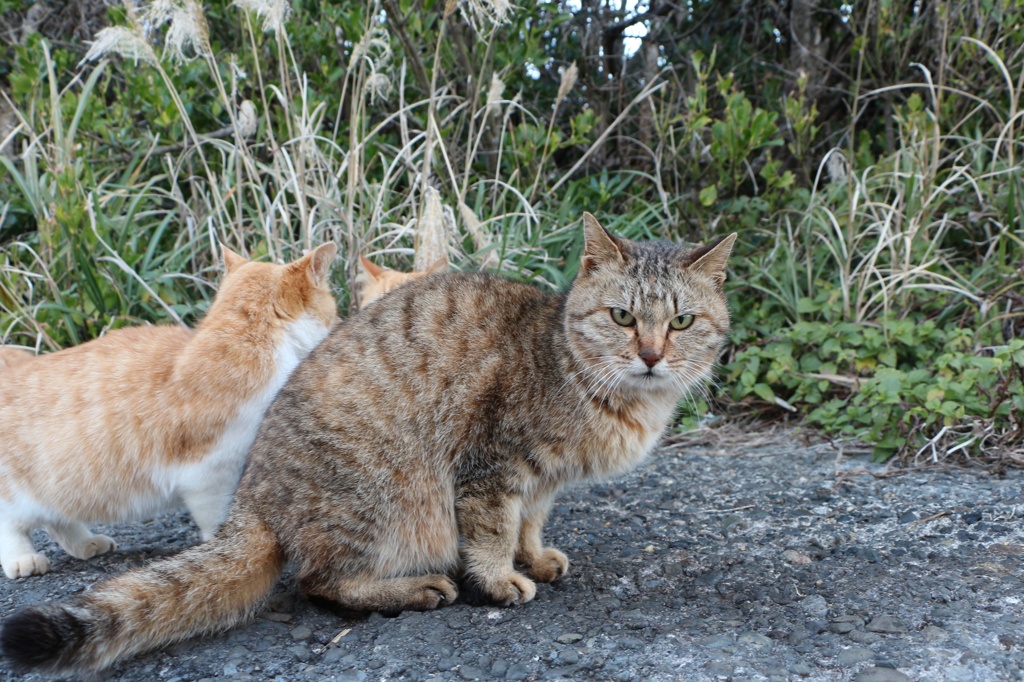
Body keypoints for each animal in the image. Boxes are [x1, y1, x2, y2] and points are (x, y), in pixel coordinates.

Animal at [0, 241, 337, 577]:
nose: (339, 321)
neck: (255, 343)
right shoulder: (209, 475)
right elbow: (218, 519)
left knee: (58, 520)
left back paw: (86, 543)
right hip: (19, 494)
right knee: (13, 524)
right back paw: (23, 559)